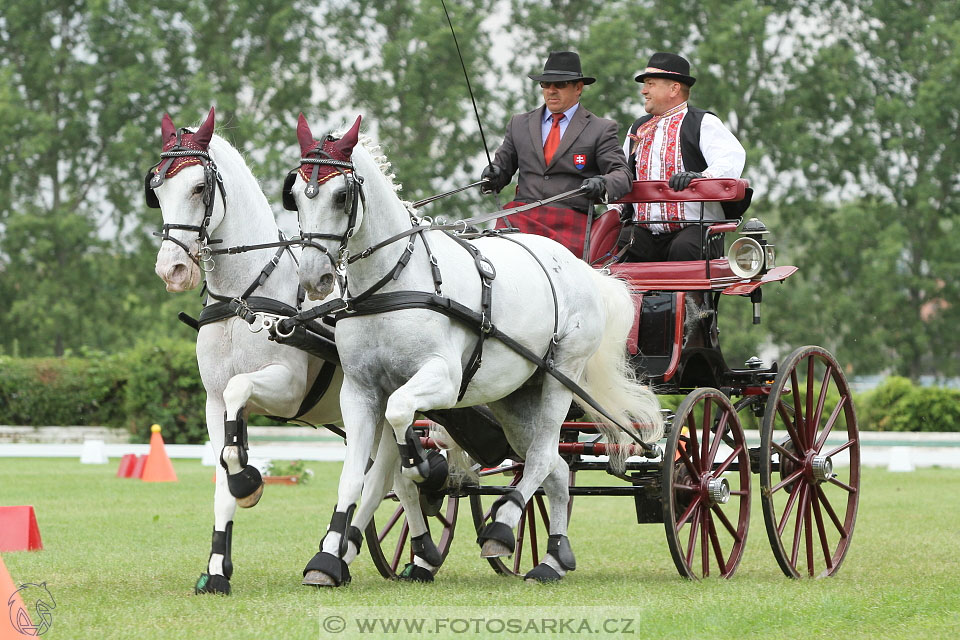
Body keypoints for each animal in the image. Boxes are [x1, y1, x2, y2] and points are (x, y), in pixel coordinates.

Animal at [148, 107, 434, 592]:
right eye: (157, 187)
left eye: (199, 187)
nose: (173, 269)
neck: (244, 297)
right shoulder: (212, 402)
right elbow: (223, 472)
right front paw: (216, 569)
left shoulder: (286, 388)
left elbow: (240, 398)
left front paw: (249, 482)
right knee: (391, 475)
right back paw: (393, 552)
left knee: (391, 474)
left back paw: (401, 553)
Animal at [288, 115, 664, 584]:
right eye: (294, 195)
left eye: (342, 196)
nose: (314, 277)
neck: (393, 281)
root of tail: (584, 269)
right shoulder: (359, 391)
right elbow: (355, 475)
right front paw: (328, 558)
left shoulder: (443, 380)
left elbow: (400, 415)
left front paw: (423, 467)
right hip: (515, 398)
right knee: (554, 466)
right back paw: (554, 557)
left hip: (562, 376)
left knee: (543, 456)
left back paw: (502, 528)